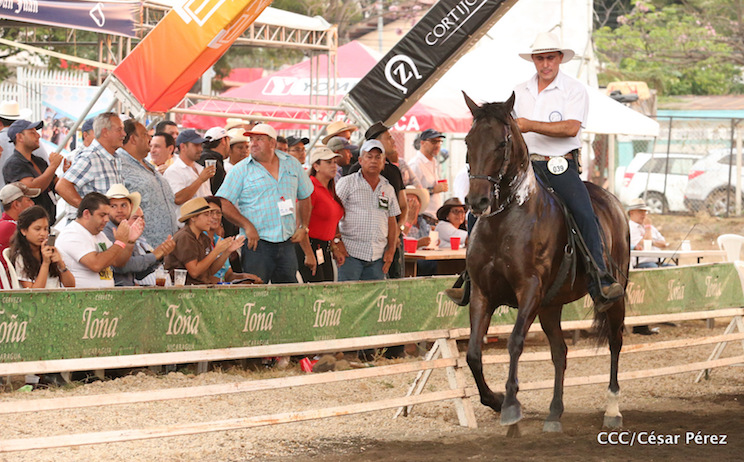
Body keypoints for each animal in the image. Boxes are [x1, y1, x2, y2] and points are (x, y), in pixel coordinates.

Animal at [461, 92, 629, 432]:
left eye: (502, 143)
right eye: (468, 141)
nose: (477, 201)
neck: (505, 222)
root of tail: (614, 202)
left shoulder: (529, 290)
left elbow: (515, 342)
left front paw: (511, 405)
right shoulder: (483, 294)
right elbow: (473, 353)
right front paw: (495, 400)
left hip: (613, 297)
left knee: (615, 342)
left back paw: (612, 409)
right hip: (551, 307)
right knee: (560, 352)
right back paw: (554, 413)